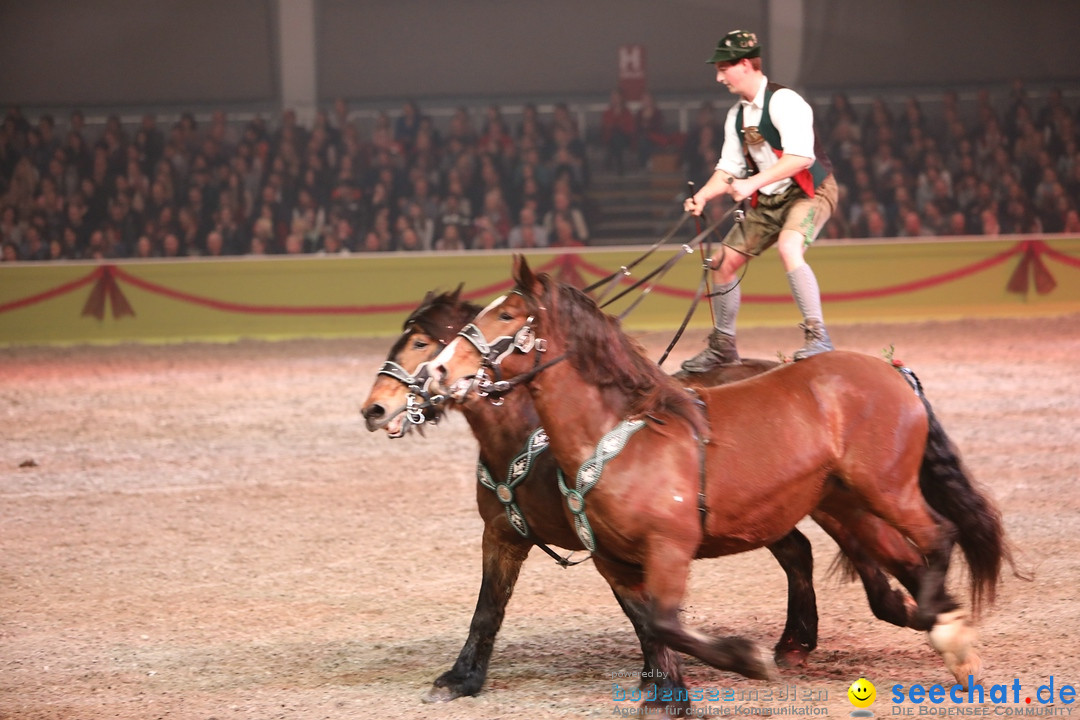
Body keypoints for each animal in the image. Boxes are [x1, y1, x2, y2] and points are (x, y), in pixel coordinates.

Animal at [432, 259, 1010, 703]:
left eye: (508, 314)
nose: (438, 371)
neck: (620, 433)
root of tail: (893, 372)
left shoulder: (670, 546)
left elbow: (664, 623)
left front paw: (745, 658)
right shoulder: (612, 559)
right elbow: (649, 624)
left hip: (887, 491)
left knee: (938, 536)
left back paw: (943, 630)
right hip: (850, 507)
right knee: (906, 561)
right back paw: (950, 642)